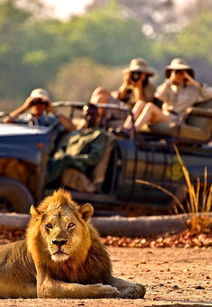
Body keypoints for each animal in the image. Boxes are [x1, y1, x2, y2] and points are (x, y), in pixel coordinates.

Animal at [0, 189, 145, 300]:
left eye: (70, 225)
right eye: (48, 226)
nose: (59, 242)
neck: (74, 260)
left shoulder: (98, 272)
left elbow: (131, 284)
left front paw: (133, 288)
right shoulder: (45, 286)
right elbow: (76, 289)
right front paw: (108, 290)